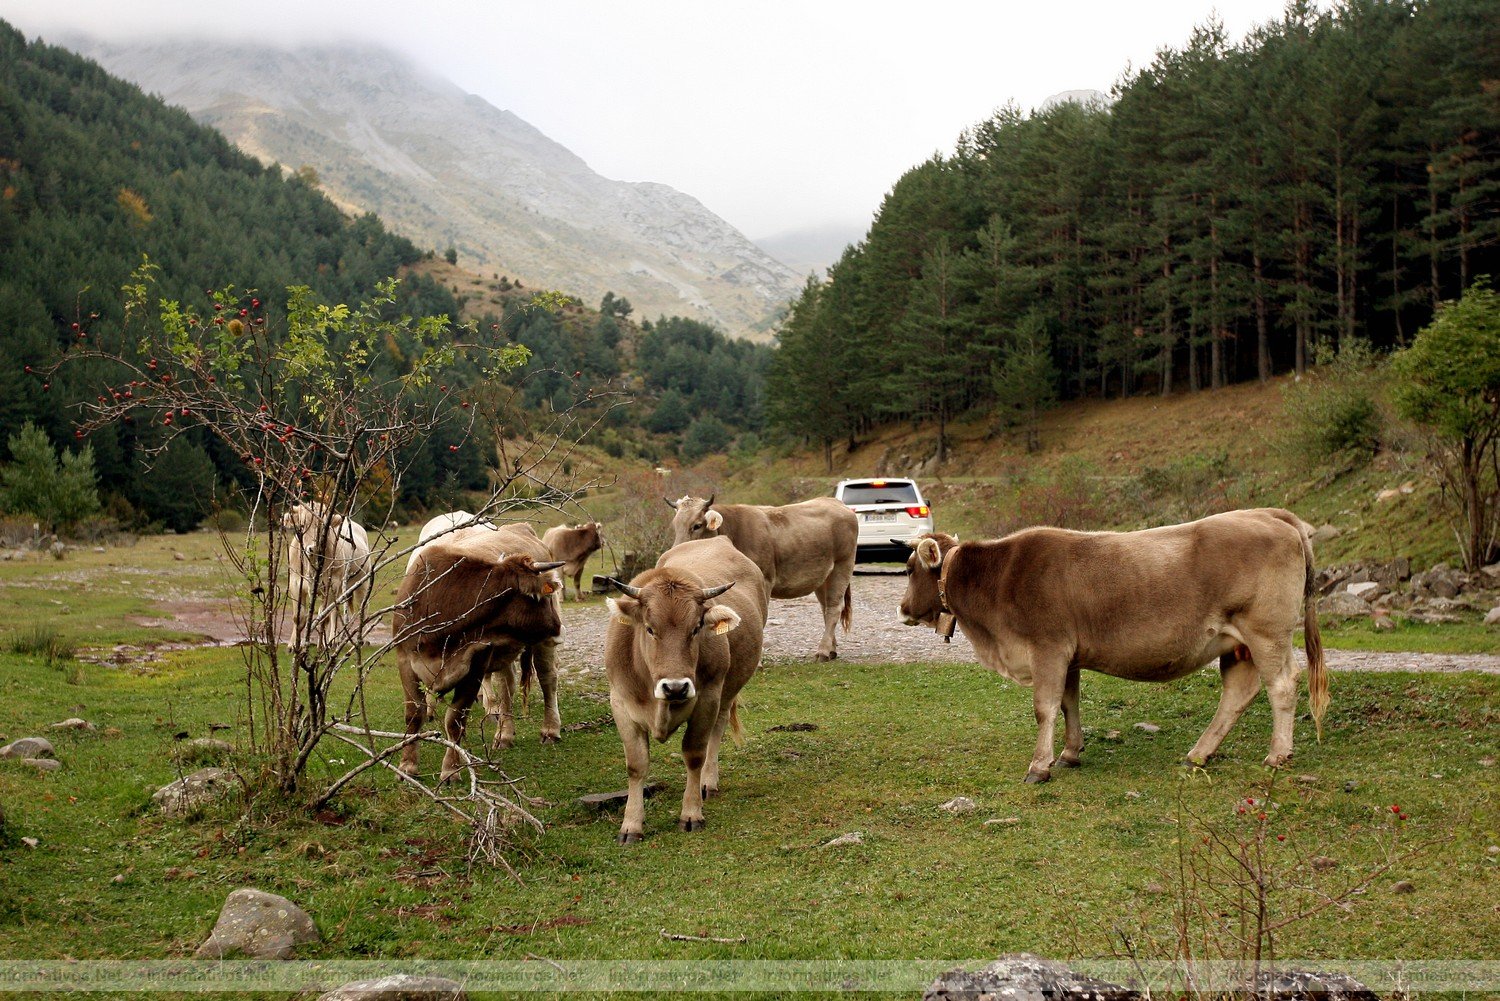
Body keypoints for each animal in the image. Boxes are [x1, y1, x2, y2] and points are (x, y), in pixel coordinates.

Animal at [282, 501, 373, 651]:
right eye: (301, 526)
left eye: (324, 527)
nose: (313, 548)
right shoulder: (295, 583)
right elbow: (299, 617)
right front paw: (293, 645)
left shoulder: (331, 584)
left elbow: (324, 616)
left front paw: (320, 645)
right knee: (334, 612)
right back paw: (332, 640)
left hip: (361, 583)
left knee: (361, 608)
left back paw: (360, 639)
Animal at [393, 525, 564, 780]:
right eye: (539, 598)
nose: (558, 626)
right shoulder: (405, 661)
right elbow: (414, 714)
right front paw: (407, 766)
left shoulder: (475, 663)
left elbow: (455, 719)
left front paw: (451, 769)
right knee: (506, 687)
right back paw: (504, 735)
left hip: (541, 644)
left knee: (547, 680)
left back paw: (550, 730)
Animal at [669, 495, 858, 666]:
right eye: (675, 525)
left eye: (697, 525)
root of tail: (835, 502)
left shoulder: (765, 580)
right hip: (823, 577)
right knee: (825, 608)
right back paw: (832, 649)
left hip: (843, 565)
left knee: (834, 608)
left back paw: (823, 651)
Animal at [894, 513, 1332, 786]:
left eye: (909, 569)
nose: (902, 609)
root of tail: (1271, 516)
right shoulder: (1066, 654)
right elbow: (1068, 702)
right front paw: (1070, 752)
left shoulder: (1047, 647)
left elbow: (1045, 708)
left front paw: (1040, 766)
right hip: (1238, 643)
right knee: (1238, 694)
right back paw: (1199, 753)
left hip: (1266, 633)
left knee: (1281, 686)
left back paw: (1277, 755)